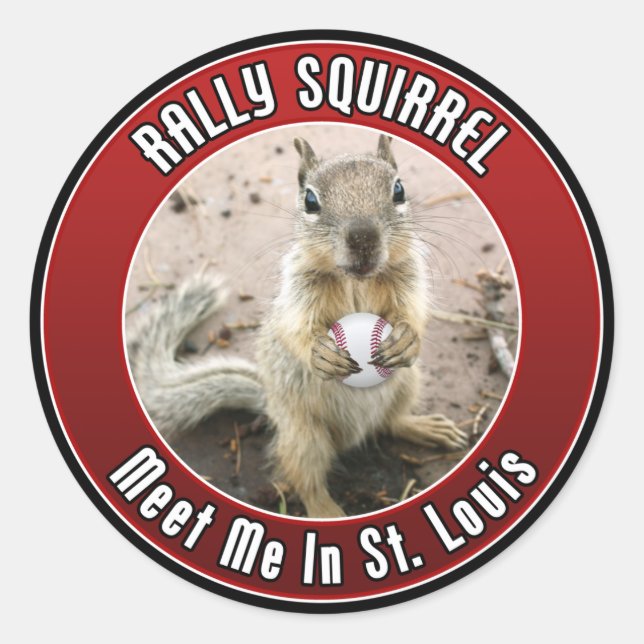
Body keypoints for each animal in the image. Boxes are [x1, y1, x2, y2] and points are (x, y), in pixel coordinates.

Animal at [127, 134, 468, 518]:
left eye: (398, 190)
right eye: (310, 200)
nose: (362, 238)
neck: (357, 280)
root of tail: (269, 402)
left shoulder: (409, 275)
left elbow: (413, 309)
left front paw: (407, 338)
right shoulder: (298, 290)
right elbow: (296, 328)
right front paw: (321, 353)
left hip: (407, 384)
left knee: (390, 421)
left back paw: (423, 427)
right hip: (304, 435)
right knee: (306, 476)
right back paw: (326, 511)